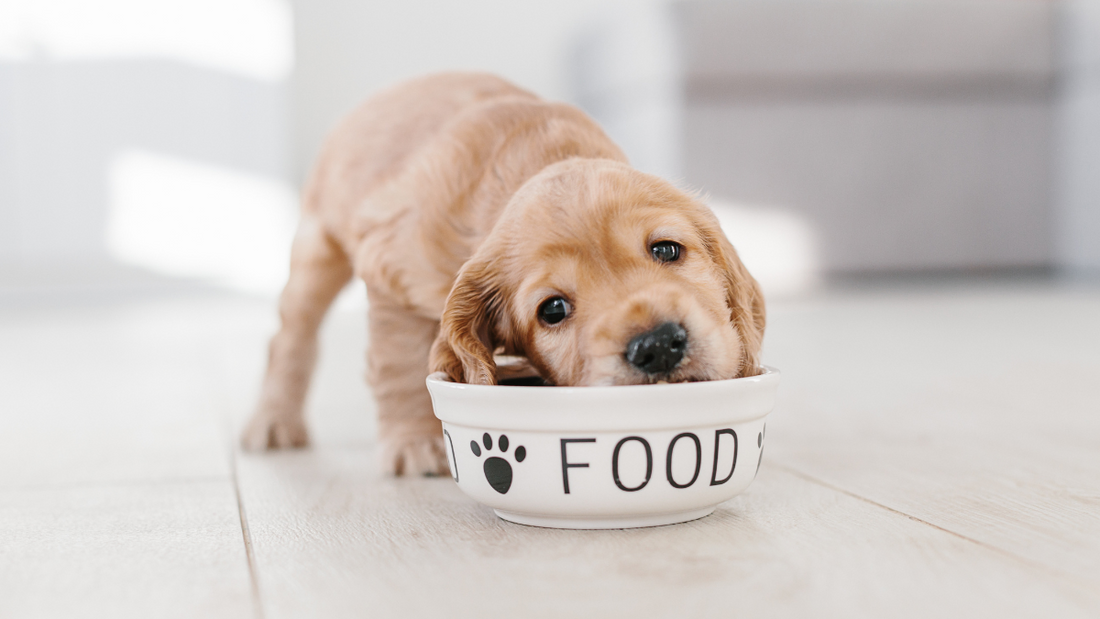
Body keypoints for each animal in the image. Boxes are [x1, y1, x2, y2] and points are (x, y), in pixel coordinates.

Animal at [238, 71, 765, 474]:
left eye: (667, 249)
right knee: (290, 336)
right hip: (317, 249)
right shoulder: (392, 272)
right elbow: (400, 363)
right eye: (553, 309)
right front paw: (413, 443)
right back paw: (274, 422)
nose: (657, 346)